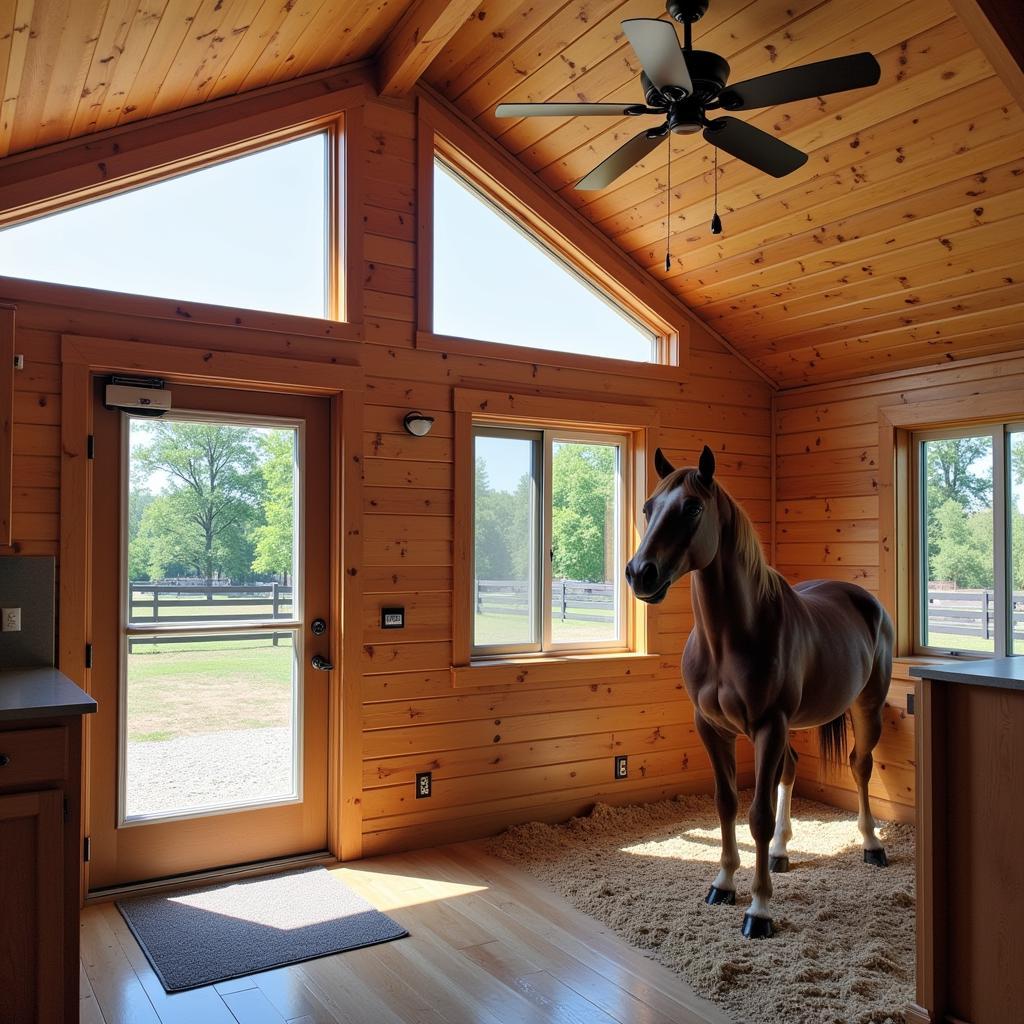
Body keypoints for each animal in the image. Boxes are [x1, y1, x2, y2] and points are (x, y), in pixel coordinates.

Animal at [618, 444, 892, 937]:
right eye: (648, 508)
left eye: (692, 507)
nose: (639, 573)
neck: (729, 639)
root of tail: (866, 600)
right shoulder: (712, 728)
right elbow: (726, 804)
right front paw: (724, 884)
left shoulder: (768, 726)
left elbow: (758, 817)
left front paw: (759, 909)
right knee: (792, 769)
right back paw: (783, 853)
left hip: (868, 707)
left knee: (860, 767)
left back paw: (871, 844)